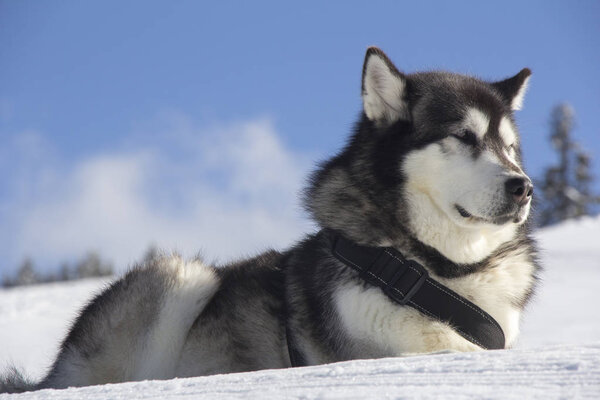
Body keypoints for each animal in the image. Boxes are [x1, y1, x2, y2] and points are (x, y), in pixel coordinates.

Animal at [2, 47, 540, 394]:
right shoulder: (382, 348)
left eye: (510, 147)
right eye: (463, 136)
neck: (432, 270)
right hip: (182, 275)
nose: (524, 187)